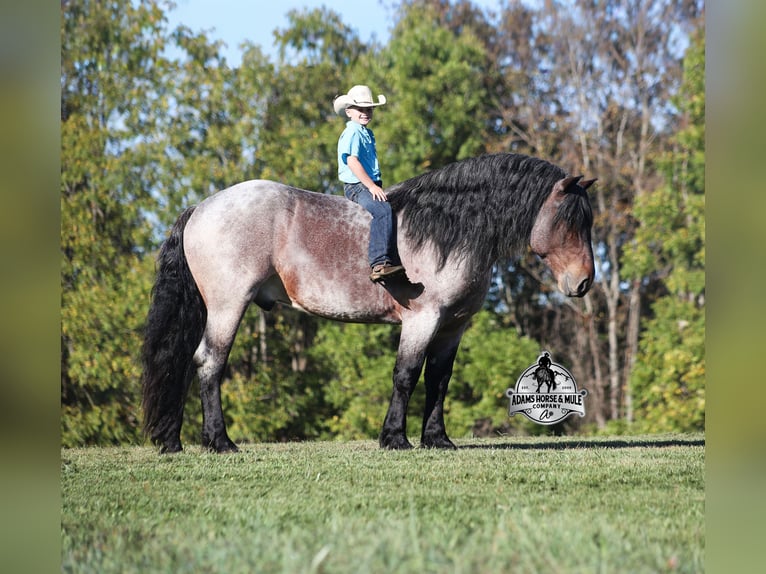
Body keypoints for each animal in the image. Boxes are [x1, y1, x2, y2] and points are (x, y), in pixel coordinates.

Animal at [141, 153, 595, 454]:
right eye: (570, 222)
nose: (584, 282)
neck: (447, 231)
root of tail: (201, 207)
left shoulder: (453, 326)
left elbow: (439, 380)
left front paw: (437, 439)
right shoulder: (422, 320)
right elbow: (406, 376)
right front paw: (395, 438)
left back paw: (175, 441)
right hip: (227, 307)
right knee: (209, 363)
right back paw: (219, 442)